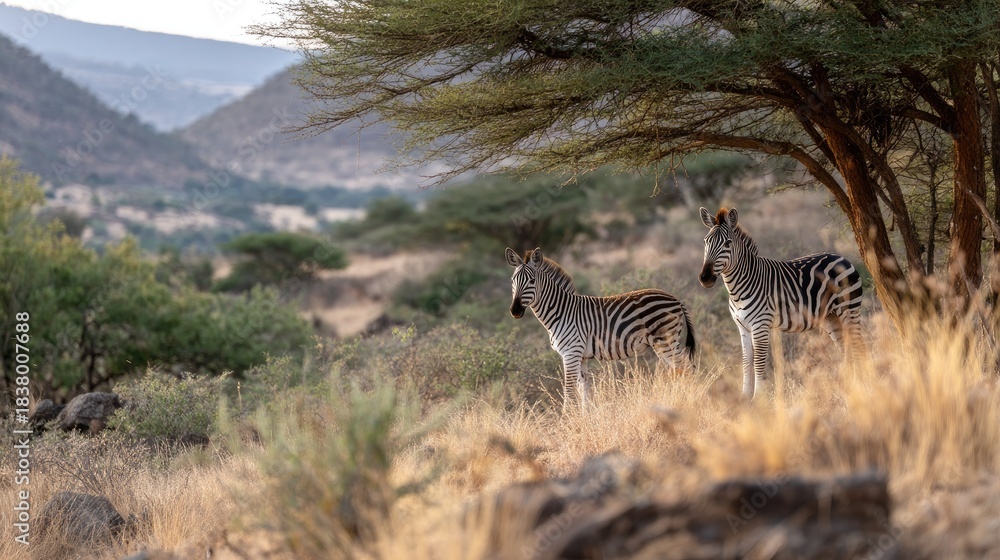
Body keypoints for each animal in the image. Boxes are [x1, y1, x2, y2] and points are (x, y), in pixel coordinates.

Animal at [506, 247, 696, 412]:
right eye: (513, 281)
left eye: (532, 281)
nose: (515, 311)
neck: (560, 311)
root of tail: (676, 299)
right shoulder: (581, 356)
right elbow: (584, 391)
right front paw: (584, 420)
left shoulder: (571, 352)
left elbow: (569, 392)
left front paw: (566, 421)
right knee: (682, 369)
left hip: (665, 341)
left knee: (685, 369)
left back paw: (686, 404)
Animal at [698, 207, 864, 401]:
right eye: (705, 241)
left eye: (727, 243)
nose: (705, 278)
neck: (739, 289)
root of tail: (842, 257)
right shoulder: (743, 328)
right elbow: (747, 362)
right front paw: (744, 398)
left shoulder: (760, 326)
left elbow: (759, 361)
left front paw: (758, 399)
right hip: (831, 317)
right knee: (847, 349)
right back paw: (850, 388)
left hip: (849, 311)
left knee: (859, 346)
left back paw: (864, 386)